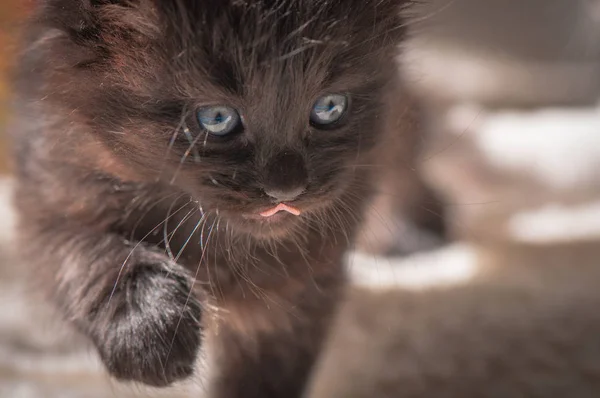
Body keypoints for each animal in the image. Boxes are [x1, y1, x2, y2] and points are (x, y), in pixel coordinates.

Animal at [11, 1, 410, 396]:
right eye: (217, 118)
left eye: (329, 108)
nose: (286, 189)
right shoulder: (50, 190)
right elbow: (83, 253)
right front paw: (149, 328)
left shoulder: (298, 293)